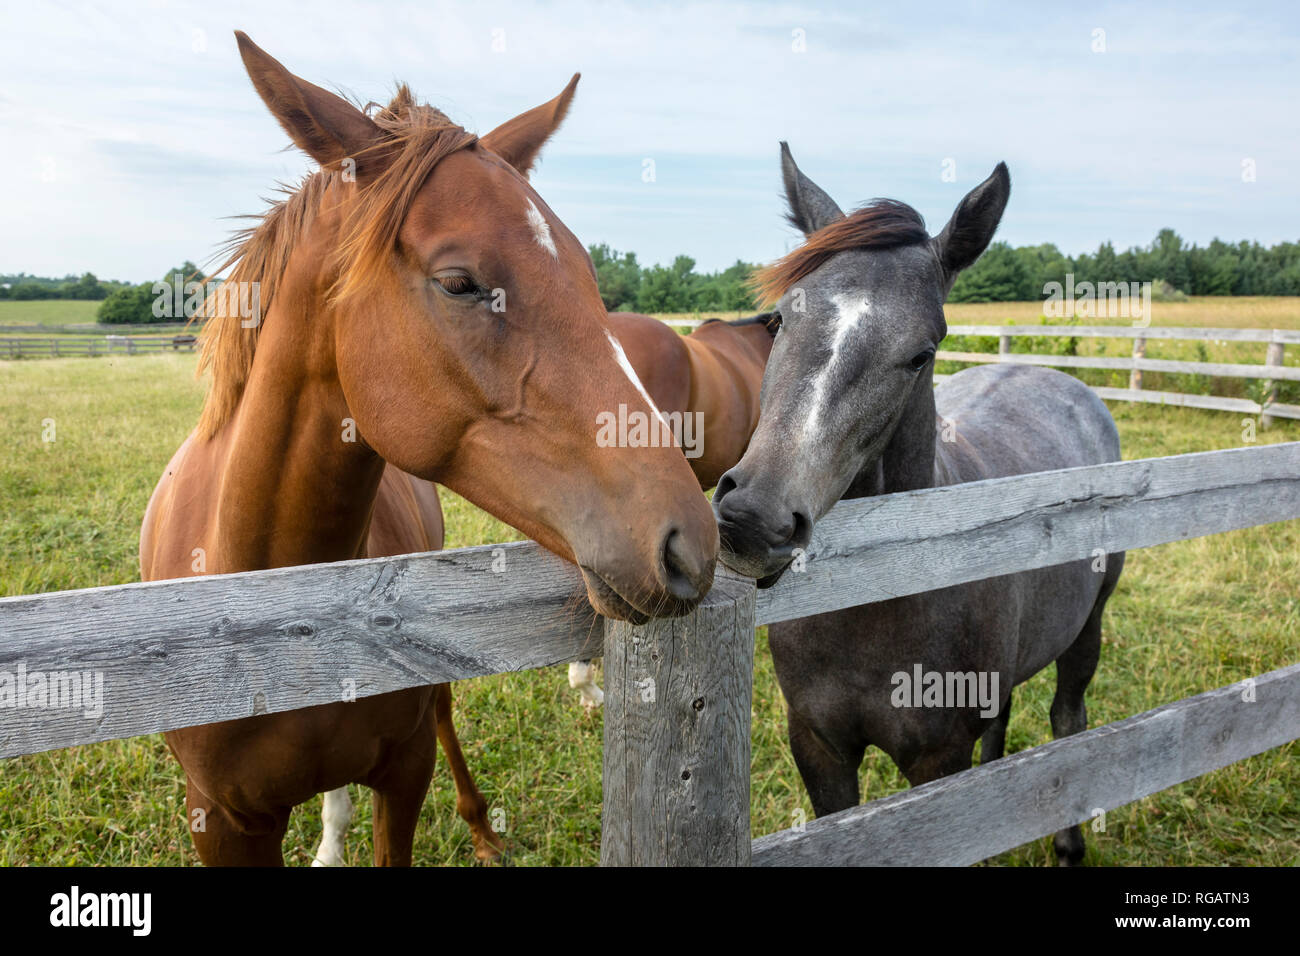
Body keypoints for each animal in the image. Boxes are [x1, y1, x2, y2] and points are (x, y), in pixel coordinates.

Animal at [143, 31, 717, 868]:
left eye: (587, 272)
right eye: (459, 282)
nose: (692, 544)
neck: (275, 624)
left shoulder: (404, 775)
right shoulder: (220, 821)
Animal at [717, 143, 1123, 868]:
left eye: (920, 354)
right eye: (779, 320)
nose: (753, 518)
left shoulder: (936, 761)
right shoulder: (819, 748)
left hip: (1087, 631)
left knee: (1068, 719)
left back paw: (1069, 843)